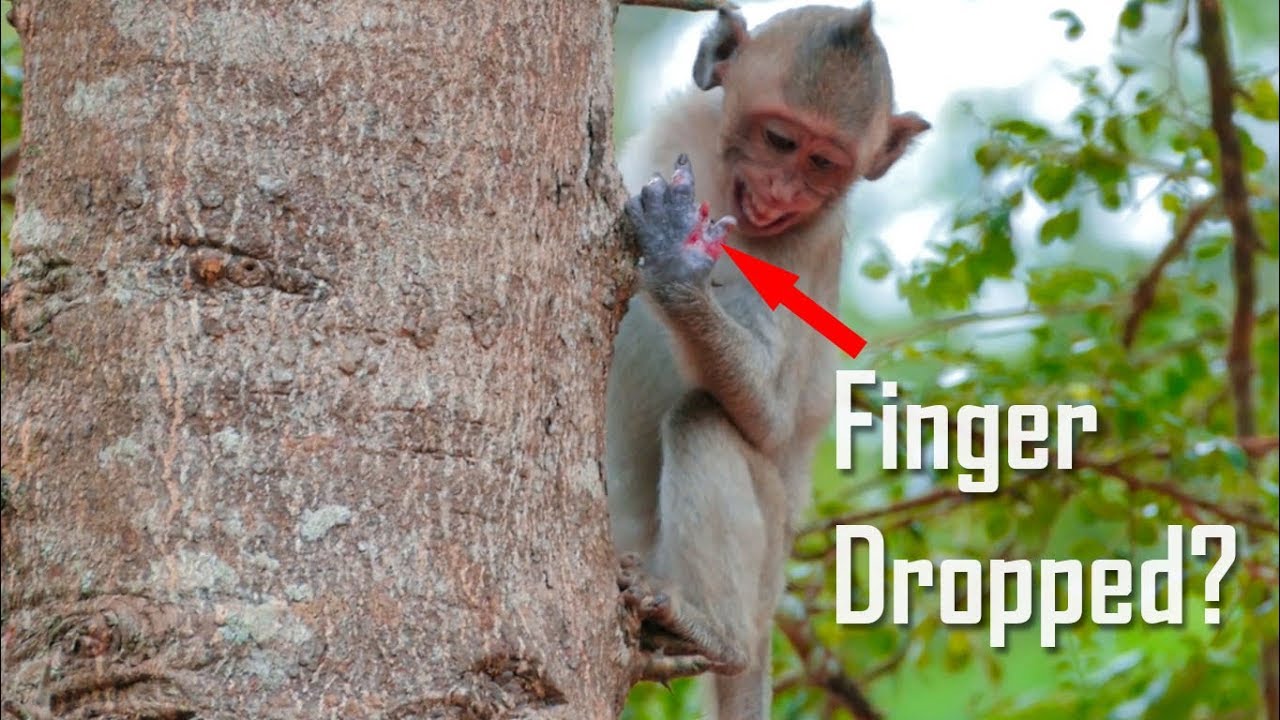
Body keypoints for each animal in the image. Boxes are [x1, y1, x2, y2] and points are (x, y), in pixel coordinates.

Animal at [605, 4, 928, 718]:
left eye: (823, 163)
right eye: (780, 140)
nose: (782, 193)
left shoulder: (804, 249)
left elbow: (772, 417)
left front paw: (675, 263)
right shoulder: (683, 122)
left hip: (758, 568)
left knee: (703, 420)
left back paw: (713, 633)